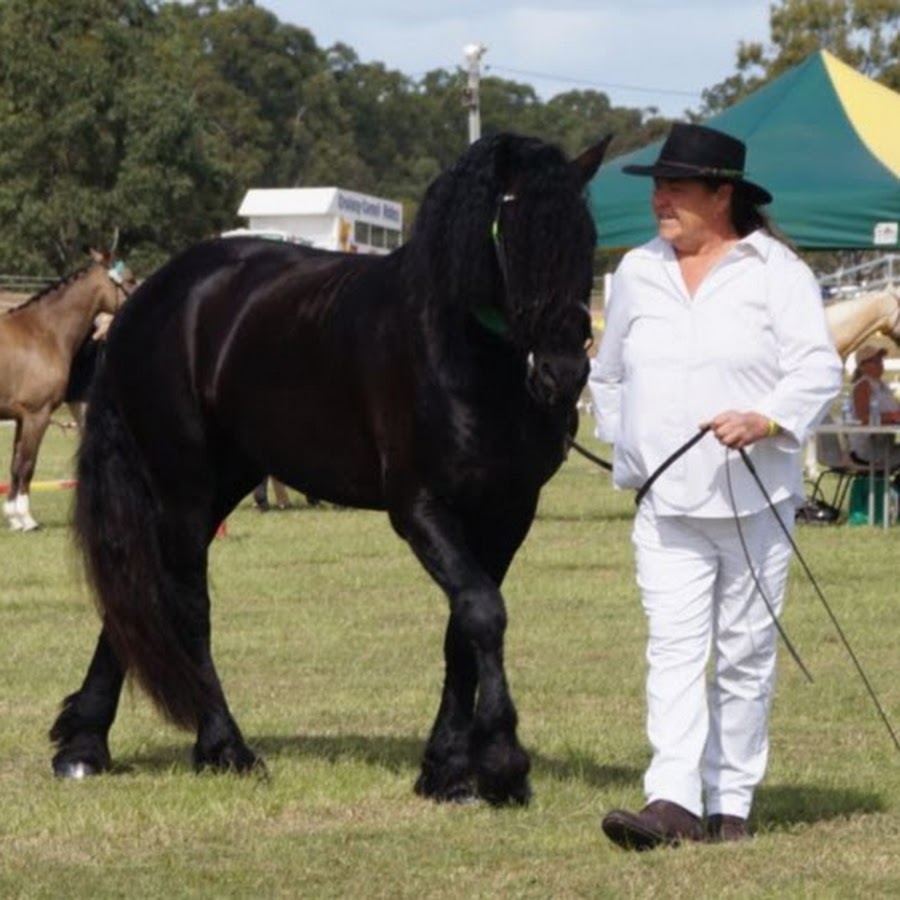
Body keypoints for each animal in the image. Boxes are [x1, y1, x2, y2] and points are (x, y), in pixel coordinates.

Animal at [0, 250, 134, 532]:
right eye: (129, 279)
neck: (44, 332)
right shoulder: (37, 415)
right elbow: (26, 465)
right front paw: (26, 519)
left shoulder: (21, 418)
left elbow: (15, 464)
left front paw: (14, 518)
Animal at [51, 130, 612, 804]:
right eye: (510, 234)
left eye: (585, 235)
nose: (564, 373)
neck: (462, 353)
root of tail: (148, 301)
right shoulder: (419, 508)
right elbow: (482, 612)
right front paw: (502, 763)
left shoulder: (507, 511)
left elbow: (464, 628)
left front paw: (447, 770)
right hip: (183, 490)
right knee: (184, 606)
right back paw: (224, 748)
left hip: (221, 483)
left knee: (138, 600)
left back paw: (83, 746)